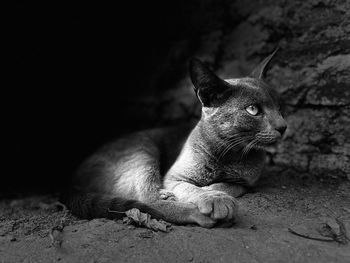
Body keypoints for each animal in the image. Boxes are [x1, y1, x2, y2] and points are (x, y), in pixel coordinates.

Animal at [62, 50, 288, 229]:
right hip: (143, 150)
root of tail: (71, 179)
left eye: (279, 107)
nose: (283, 126)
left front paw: (213, 191)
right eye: (253, 109)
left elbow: (227, 185)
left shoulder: (248, 182)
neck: (229, 153)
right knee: (147, 200)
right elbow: (189, 187)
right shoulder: (173, 177)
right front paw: (214, 199)